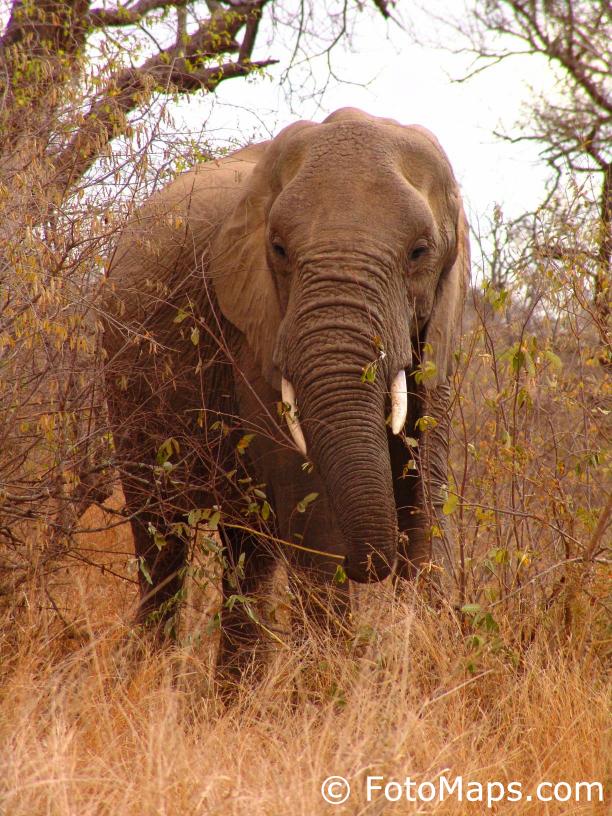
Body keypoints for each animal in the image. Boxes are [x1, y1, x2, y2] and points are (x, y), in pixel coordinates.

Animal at [101, 107, 469, 679]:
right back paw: (149, 676)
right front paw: (331, 692)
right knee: (162, 534)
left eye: (419, 252)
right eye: (278, 250)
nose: (372, 566)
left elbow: (427, 501)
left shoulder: (439, 339)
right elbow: (311, 515)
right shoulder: (254, 330)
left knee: (247, 548)